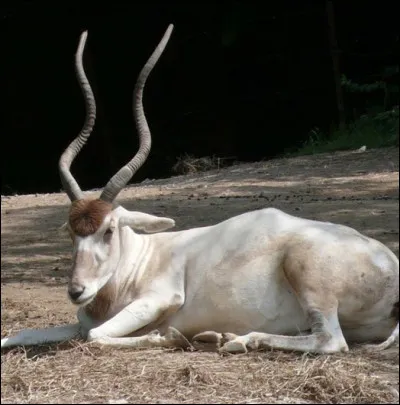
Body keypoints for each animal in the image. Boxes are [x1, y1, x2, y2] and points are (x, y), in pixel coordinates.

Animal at [1, 24, 398, 354]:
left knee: (331, 340)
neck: (139, 259)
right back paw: (219, 336)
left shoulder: (161, 298)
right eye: (71, 232)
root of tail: (389, 261)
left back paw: (236, 340)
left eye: (108, 230)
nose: (76, 291)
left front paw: (168, 337)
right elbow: (20, 334)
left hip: (309, 277)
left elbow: (96, 335)